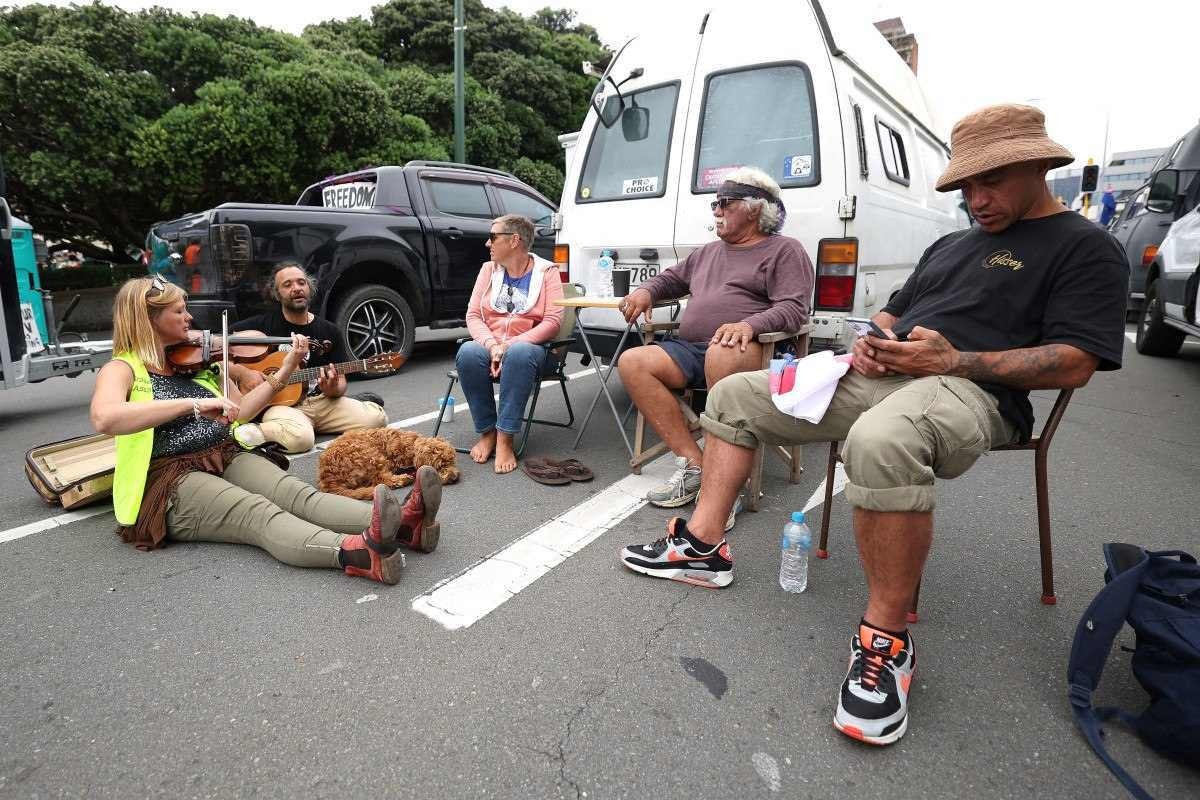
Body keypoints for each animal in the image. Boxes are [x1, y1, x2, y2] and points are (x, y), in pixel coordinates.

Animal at [319, 429, 458, 496]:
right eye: (441, 465)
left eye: (453, 461)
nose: (454, 477)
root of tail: (327, 478)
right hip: (370, 455)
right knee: (382, 479)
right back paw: (403, 479)